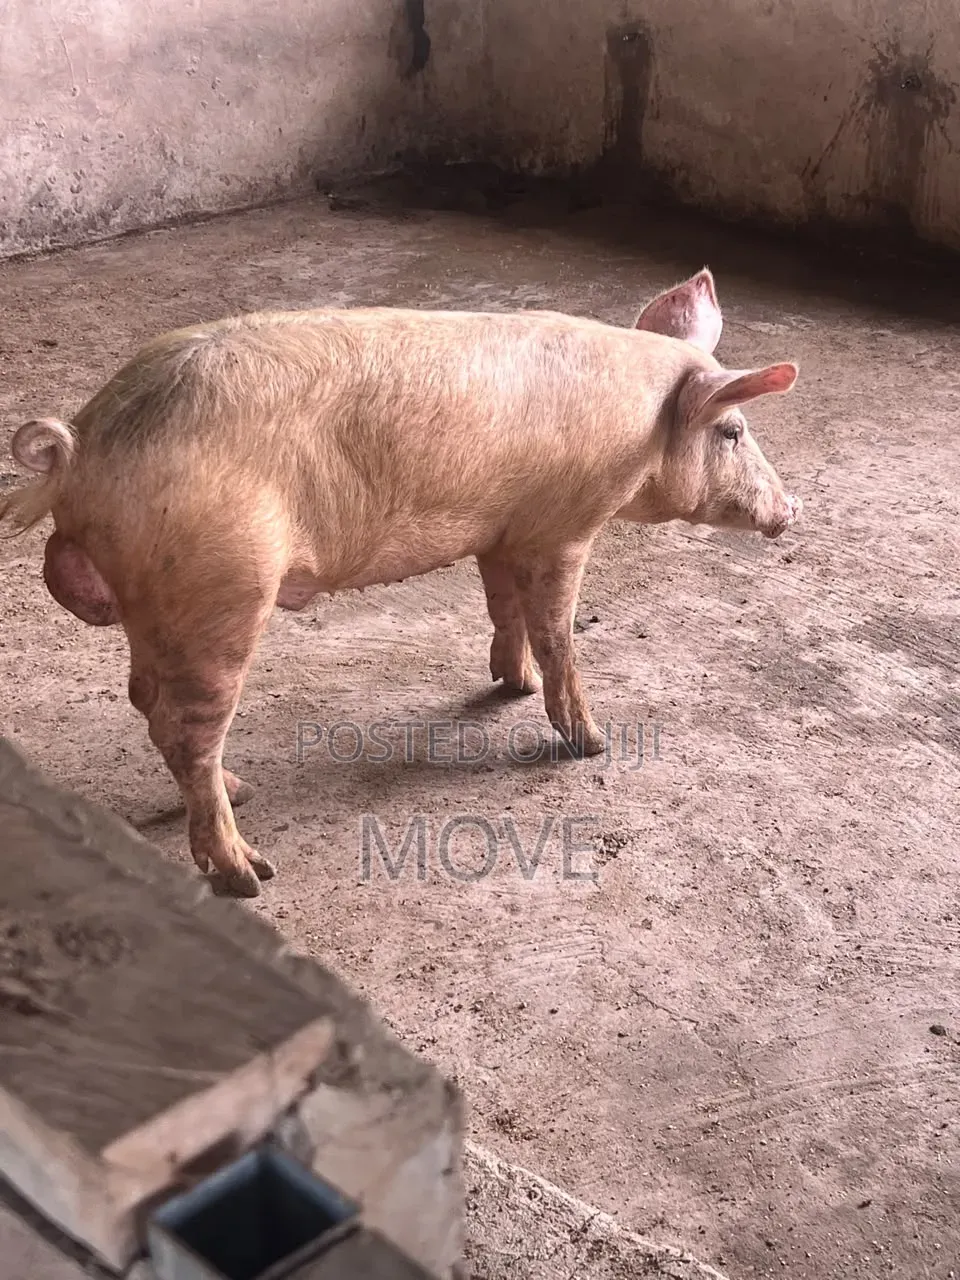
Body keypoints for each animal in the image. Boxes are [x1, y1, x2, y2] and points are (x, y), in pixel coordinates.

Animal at [0, 269, 802, 897]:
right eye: (732, 431)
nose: (791, 510)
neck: (638, 426)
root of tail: (81, 449)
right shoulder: (562, 529)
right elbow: (558, 632)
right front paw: (593, 743)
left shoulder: (501, 529)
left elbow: (504, 608)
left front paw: (512, 686)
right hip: (221, 589)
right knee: (184, 726)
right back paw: (250, 873)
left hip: (160, 602)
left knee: (147, 700)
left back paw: (240, 791)